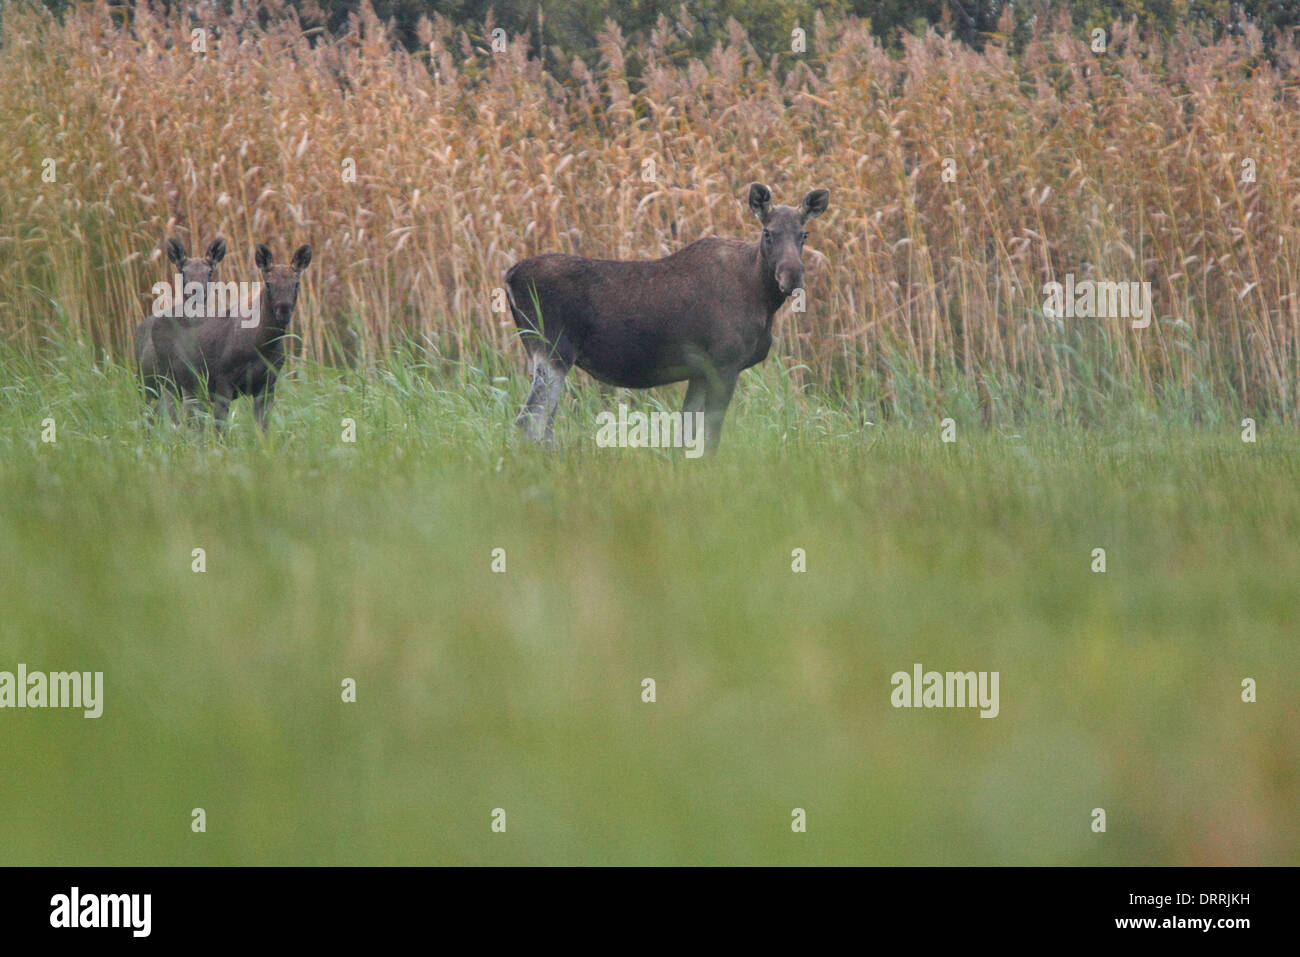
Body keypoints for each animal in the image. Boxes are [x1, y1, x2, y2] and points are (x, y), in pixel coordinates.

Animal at [135, 240, 310, 431]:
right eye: (269, 283)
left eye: (296, 284)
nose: (284, 310)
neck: (262, 345)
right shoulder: (223, 382)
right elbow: (221, 431)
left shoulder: (267, 386)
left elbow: (262, 431)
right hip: (164, 382)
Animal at [501, 187, 826, 455]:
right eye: (768, 232)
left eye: (804, 234)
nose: (792, 277)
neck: (763, 300)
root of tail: (509, 277)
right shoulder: (725, 363)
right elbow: (710, 437)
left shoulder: (700, 370)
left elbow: (685, 434)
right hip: (552, 351)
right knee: (529, 422)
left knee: (545, 425)